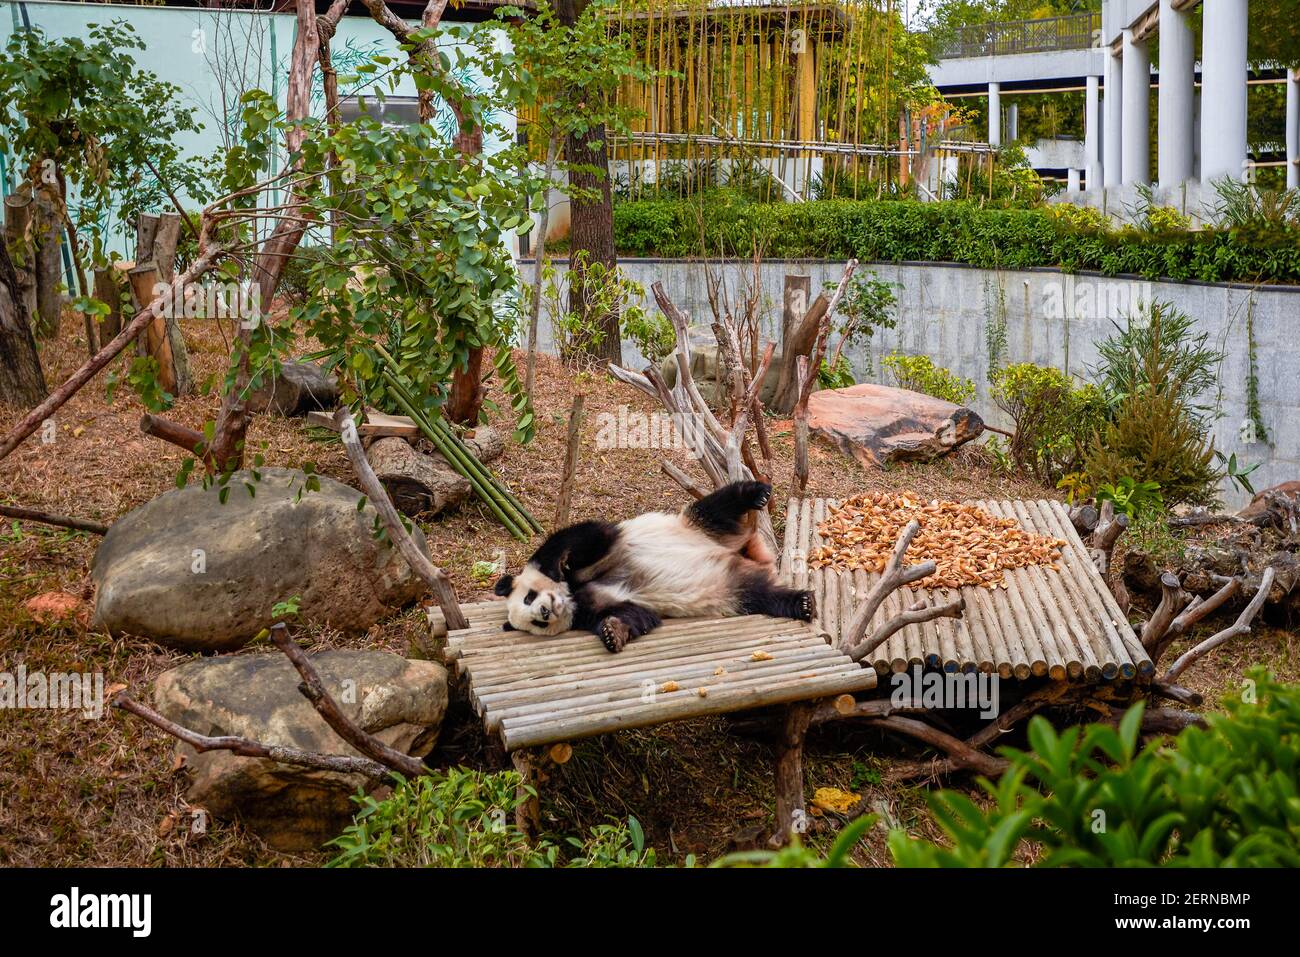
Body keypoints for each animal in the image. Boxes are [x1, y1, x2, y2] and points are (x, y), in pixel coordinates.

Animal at [493, 481, 811, 655]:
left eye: (529, 597)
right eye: (536, 623)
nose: (545, 611)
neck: (572, 595)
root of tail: (748, 555)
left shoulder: (602, 546)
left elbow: (587, 538)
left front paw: (562, 563)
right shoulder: (592, 608)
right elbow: (638, 615)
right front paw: (612, 632)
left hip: (699, 527)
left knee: (718, 507)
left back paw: (756, 493)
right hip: (731, 585)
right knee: (760, 594)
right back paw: (801, 603)